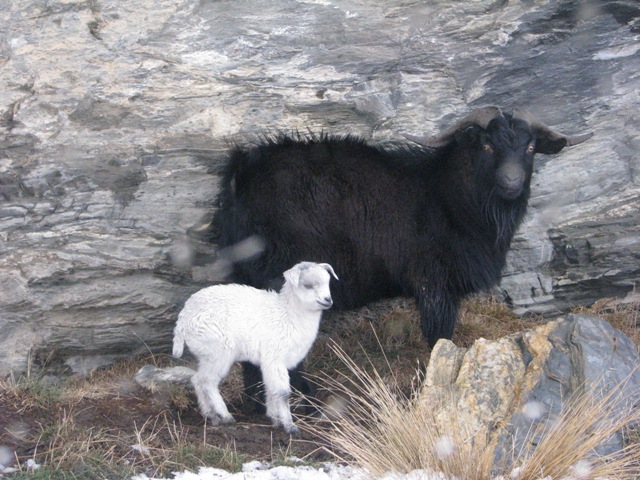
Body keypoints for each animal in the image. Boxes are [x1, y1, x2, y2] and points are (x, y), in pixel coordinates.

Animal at [172, 260, 338, 434]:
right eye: (307, 285)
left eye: (328, 281)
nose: (328, 300)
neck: (287, 314)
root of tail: (182, 321)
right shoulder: (274, 357)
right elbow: (283, 392)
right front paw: (290, 426)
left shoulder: (272, 362)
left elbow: (271, 389)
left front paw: (275, 419)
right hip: (218, 349)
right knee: (207, 381)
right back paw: (226, 416)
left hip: (206, 353)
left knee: (197, 379)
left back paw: (211, 416)